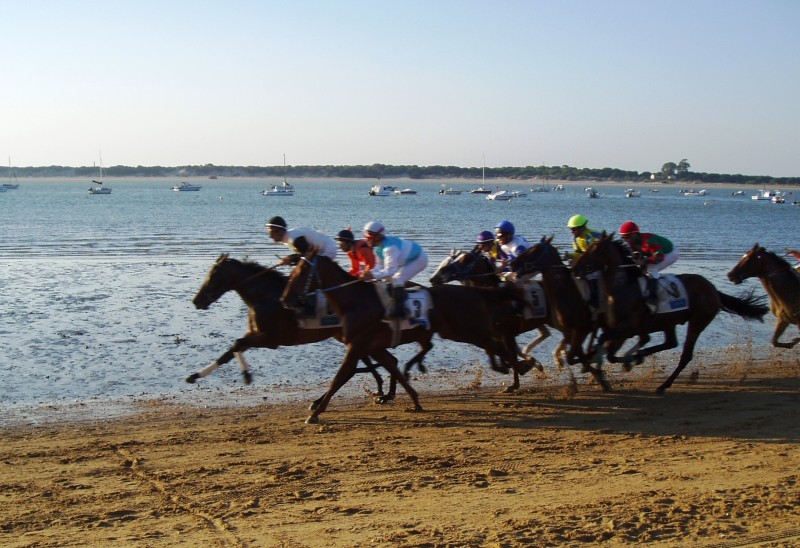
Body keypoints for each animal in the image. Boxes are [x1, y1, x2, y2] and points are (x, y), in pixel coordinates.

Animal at [188, 254, 432, 406]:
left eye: (213, 276)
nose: (197, 301)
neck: (266, 296)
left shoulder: (270, 338)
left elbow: (237, 344)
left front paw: (247, 375)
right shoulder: (256, 334)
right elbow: (231, 349)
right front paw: (194, 375)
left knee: (366, 365)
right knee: (384, 361)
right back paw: (382, 392)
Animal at [282, 253, 524, 424]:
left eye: (301, 272)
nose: (285, 299)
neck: (355, 301)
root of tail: (474, 291)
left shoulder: (357, 345)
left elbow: (340, 376)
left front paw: (317, 411)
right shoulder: (372, 346)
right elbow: (392, 366)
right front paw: (413, 400)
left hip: (467, 330)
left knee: (499, 346)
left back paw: (519, 372)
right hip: (455, 331)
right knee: (495, 346)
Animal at [568, 233, 768, 396]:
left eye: (596, 248)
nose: (575, 268)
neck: (622, 288)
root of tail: (713, 289)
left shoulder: (627, 328)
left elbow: (607, 347)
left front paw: (624, 361)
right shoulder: (617, 328)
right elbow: (606, 348)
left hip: (697, 322)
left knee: (685, 355)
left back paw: (663, 385)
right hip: (669, 322)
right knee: (671, 343)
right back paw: (641, 356)